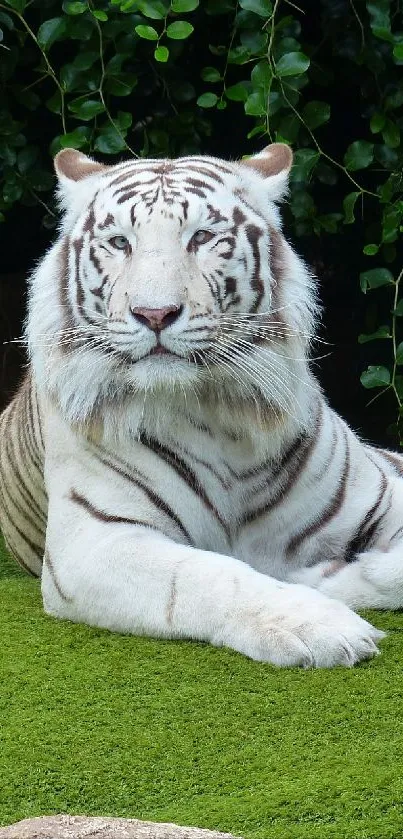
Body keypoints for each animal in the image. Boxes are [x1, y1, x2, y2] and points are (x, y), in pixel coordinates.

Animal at [3, 143, 403, 668]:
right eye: (119, 243)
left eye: (202, 237)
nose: (154, 313)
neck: (219, 413)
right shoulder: (93, 542)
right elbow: (210, 576)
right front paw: (321, 623)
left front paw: (330, 578)